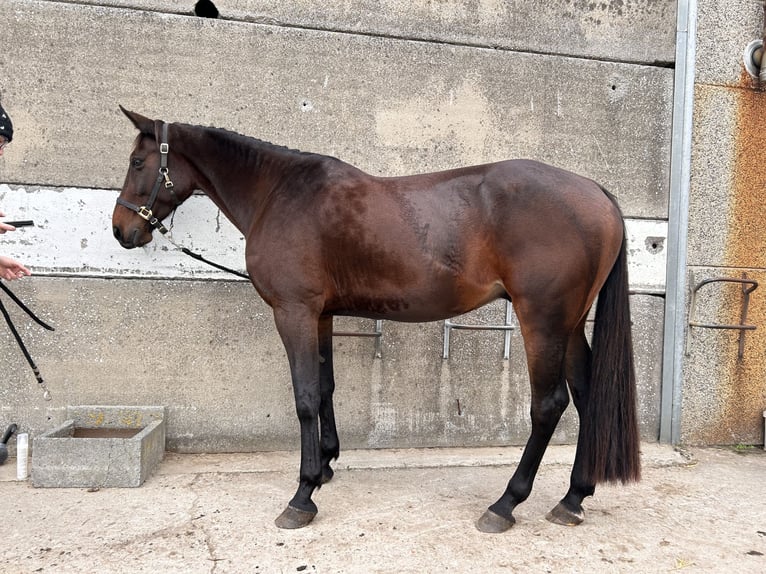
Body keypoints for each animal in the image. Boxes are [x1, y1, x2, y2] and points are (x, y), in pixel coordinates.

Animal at [112, 107, 640, 532]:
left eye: (138, 163)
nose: (121, 230)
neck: (280, 194)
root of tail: (595, 192)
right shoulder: (320, 315)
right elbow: (325, 387)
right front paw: (326, 465)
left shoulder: (294, 312)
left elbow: (305, 397)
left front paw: (302, 494)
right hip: (570, 325)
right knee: (588, 395)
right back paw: (573, 498)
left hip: (543, 321)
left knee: (549, 405)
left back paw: (505, 504)